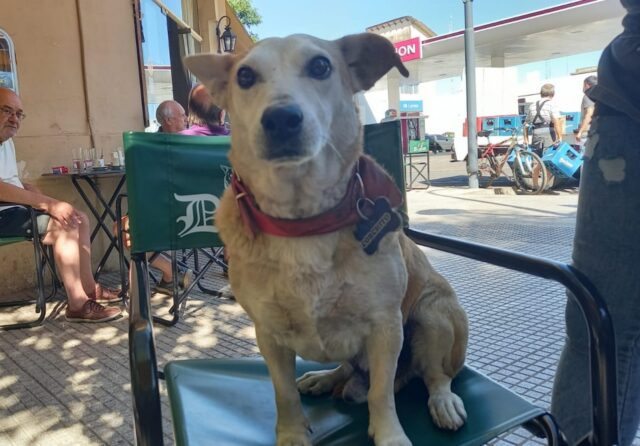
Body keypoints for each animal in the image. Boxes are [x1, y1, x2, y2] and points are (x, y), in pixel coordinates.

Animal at [185, 34, 470, 446]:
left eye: (320, 66)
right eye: (245, 76)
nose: (281, 119)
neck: (303, 221)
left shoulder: (385, 326)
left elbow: (380, 394)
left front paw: (389, 435)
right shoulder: (267, 332)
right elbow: (283, 393)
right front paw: (291, 434)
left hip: (434, 315)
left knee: (435, 375)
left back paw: (443, 401)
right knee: (347, 368)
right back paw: (324, 378)